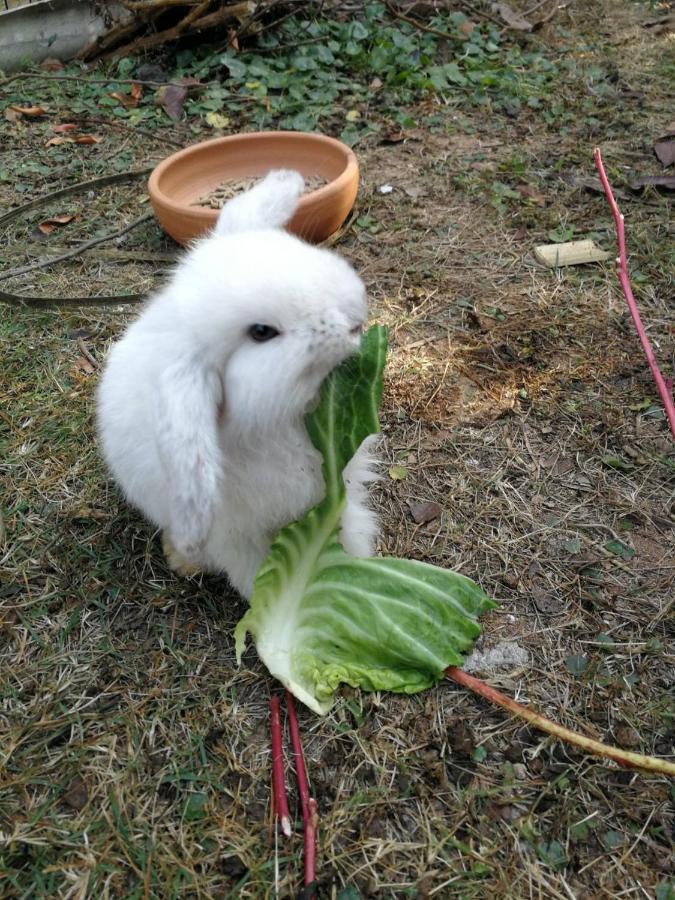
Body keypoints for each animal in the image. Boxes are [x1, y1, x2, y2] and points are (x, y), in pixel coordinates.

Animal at [95, 172, 378, 600]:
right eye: (261, 332)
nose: (354, 321)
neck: (280, 425)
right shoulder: (235, 536)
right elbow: (256, 575)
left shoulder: (337, 491)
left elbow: (346, 528)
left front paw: (355, 562)